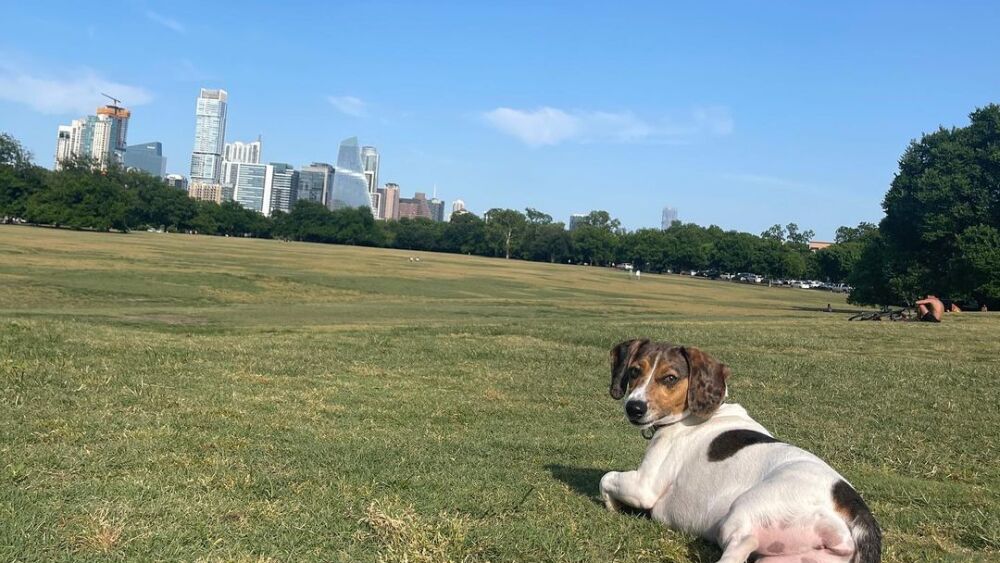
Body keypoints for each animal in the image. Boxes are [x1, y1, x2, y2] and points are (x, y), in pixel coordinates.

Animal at [596, 340, 880, 563]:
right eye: (634, 371)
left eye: (670, 378)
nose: (634, 407)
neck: (693, 415)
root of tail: (852, 505)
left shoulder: (644, 486)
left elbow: (606, 478)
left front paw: (612, 506)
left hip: (743, 511)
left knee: (742, 545)